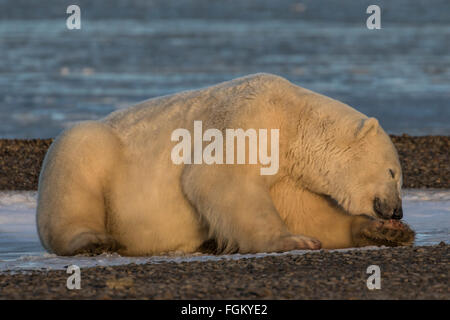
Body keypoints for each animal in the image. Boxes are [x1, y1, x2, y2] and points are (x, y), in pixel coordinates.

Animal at [36, 74, 414, 256]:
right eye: (392, 172)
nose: (396, 211)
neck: (292, 118)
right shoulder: (248, 119)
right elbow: (218, 180)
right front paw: (294, 241)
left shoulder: (287, 172)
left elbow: (308, 211)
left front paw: (387, 231)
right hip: (94, 151)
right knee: (77, 170)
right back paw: (93, 241)